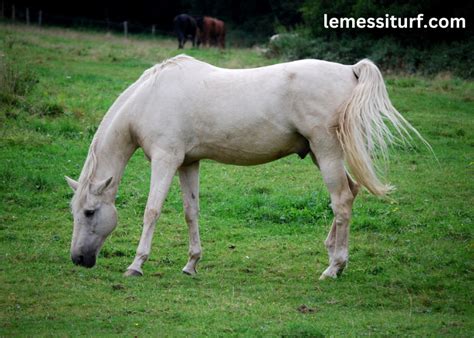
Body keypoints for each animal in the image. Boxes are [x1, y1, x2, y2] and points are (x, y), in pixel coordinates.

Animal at [65, 53, 424, 280]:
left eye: (89, 212)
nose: (78, 260)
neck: (150, 97)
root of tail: (350, 69)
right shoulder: (188, 163)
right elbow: (190, 212)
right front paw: (191, 264)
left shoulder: (166, 160)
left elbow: (152, 211)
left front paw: (136, 265)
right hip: (321, 153)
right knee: (351, 191)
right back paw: (332, 256)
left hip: (327, 151)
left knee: (342, 202)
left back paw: (333, 267)